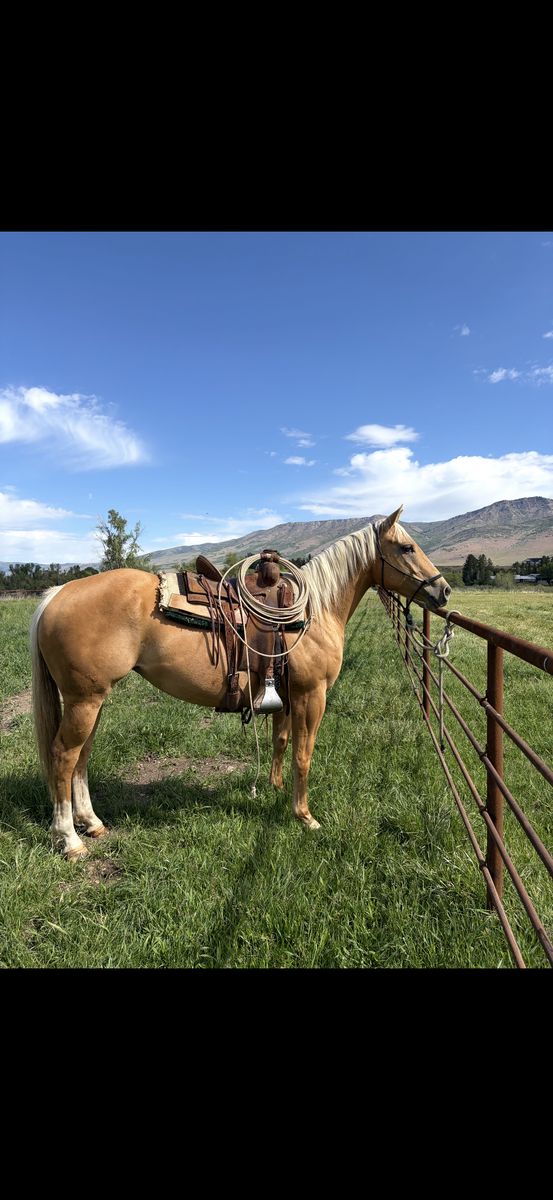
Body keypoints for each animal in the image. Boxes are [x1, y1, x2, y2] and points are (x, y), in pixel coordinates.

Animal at [30, 504, 450, 859]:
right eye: (407, 547)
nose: (443, 590)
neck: (315, 612)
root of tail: (58, 594)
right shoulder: (311, 696)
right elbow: (304, 755)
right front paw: (304, 816)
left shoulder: (286, 696)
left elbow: (282, 742)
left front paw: (276, 789)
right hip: (85, 699)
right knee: (64, 756)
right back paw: (69, 840)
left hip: (92, 699)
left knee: (81, 756)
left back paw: (92, 823)